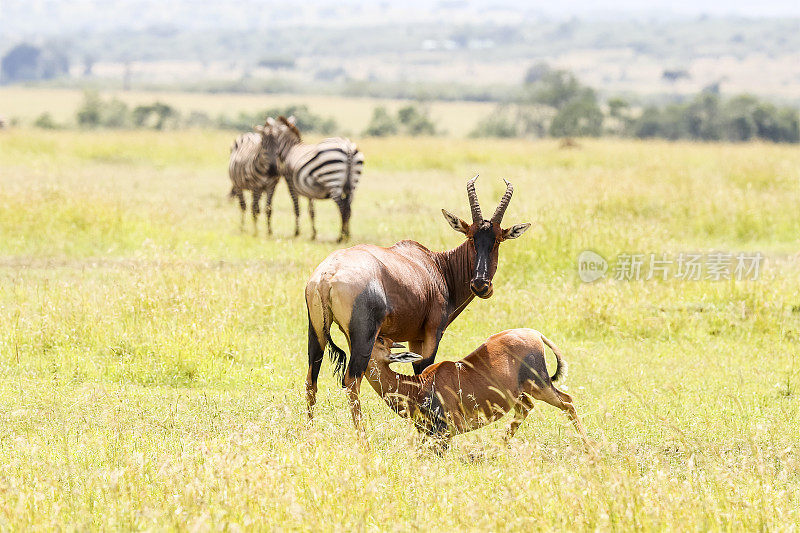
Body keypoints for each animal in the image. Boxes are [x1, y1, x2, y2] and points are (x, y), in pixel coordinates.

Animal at [306, 175, 532, 432]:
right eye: (471, 237)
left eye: (497, 240)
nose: (481, 285)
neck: (434, 265)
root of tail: (328, 274)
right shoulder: (432, 333)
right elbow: (425, 370)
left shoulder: (414, 338)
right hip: (364, 336)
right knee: (352, 381)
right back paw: (361, 436)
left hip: (317, 331)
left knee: (311, 379)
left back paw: (309, 432)